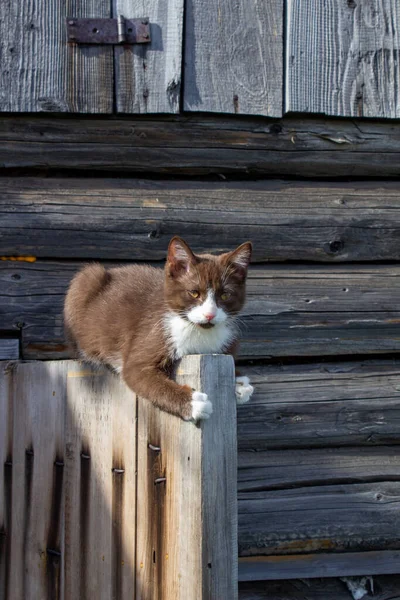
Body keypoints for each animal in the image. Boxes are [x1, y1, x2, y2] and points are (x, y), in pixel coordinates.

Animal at [64, 236, 255, 422]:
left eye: (225, 295)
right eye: (194, 293)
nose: (209, 314)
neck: (199, 332)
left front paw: (240, 384)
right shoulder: (152, 335)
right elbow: (137, 372)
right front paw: (193, 403)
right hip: (86, 281)